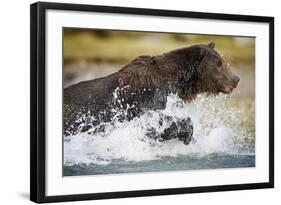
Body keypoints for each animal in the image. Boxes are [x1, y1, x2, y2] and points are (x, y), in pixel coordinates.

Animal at [63, 41, 238, 144]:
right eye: (219, 64)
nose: (236, 78)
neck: (175, 80)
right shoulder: (143, 100)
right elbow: (157, 120)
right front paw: (187, 134)